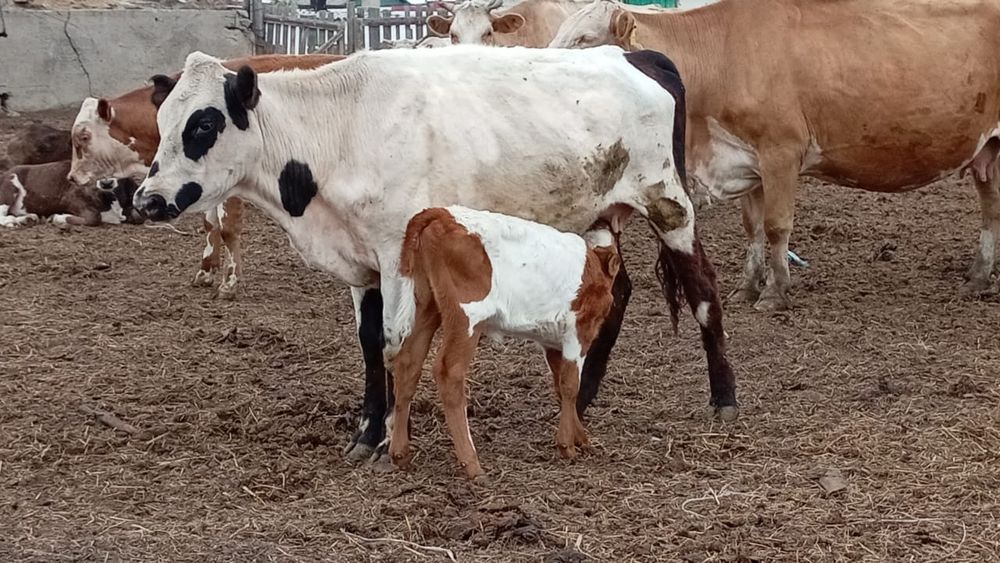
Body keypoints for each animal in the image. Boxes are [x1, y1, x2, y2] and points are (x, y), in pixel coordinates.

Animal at [0, 160, 144, 227]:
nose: (106, 183)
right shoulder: (70, 198)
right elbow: (94, 217)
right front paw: (56, 217)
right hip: (9, 188)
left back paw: (28, 218)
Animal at [69, 54, 342, 299]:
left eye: (84, 136)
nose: (71, 177)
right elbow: (210, 225)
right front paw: (205, 271)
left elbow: (227, 228)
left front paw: (230, 282)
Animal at [387, 206, 621, 479]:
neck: (595, 266)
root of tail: (442, 214)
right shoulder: (578, 332)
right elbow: (572, 385)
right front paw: (567, 446)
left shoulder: (553, 343)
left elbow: (560, 387)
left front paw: (580, 438)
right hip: (467, 317)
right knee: (449, 372)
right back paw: (472, 463)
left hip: (427, 306)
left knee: (409, 364)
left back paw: (400, 453)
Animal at [550, 0, 1000, 308]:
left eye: (584, 39)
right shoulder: (746, 160)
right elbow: (751, 227)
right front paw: (747, 287)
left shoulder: (781, 151)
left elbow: (776, 225)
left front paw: (775, 292)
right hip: (989, 152)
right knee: (991, 209)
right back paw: (979, 277)